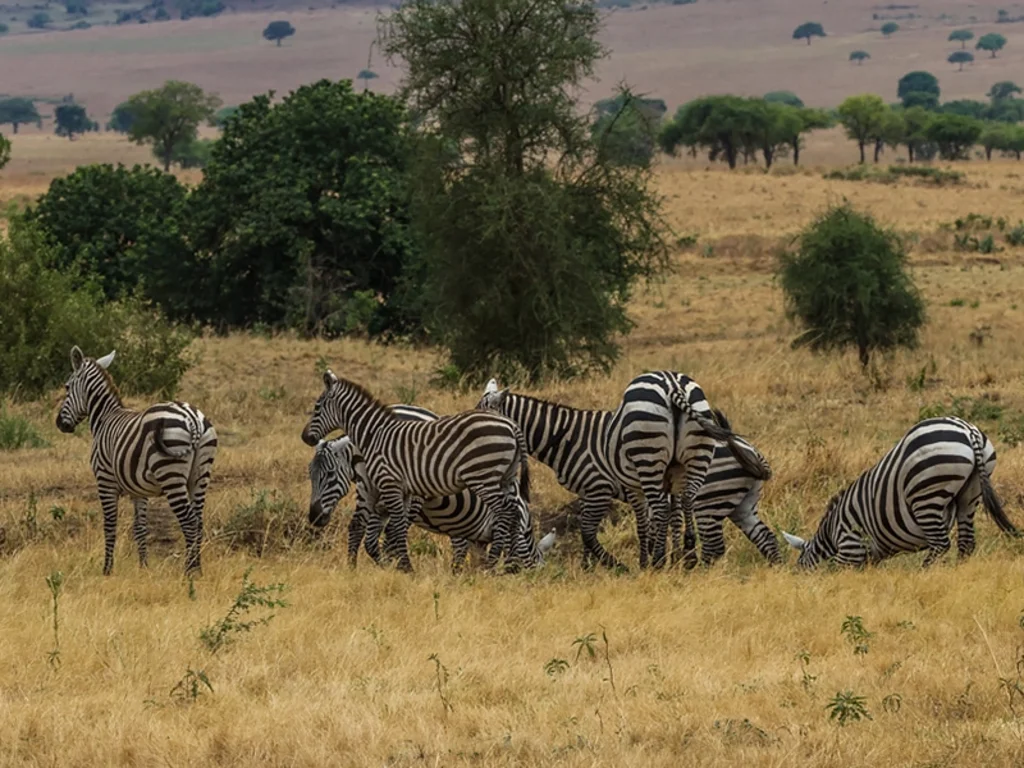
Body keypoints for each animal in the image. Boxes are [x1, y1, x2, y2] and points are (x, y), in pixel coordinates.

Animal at [56, 348, 218, 577]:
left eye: (67, 387)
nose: (60, 424)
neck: (105, 418)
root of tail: (192, 418)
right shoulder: (138, 490)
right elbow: (140, 528)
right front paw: (144, 567)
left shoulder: (104, 480)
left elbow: (110, 525)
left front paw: (107, 569)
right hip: (200, 475)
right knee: (199, 522)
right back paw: (198, 569)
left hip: (171, 475)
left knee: (189, 522)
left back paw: (189, 571)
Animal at [299, 370, 532, 573]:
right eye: (310, 475)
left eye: (317, 407)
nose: (305, 437)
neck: (374, 434)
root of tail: (512, 425)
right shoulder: (392, 491)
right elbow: (386, 530)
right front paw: (381, 567)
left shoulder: (392, 485)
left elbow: (395, 529)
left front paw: (403, 567)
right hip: (505, 479)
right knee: (510, 513)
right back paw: (504, 565)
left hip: (483, 479)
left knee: (506, 515)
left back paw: (497, 564)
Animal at [475, 378, 770, 573]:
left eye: (479, 414)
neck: (568, 436)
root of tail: (747, 448)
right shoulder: (590, 492)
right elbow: (588, 532)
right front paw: (589, 569)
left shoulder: (598, 487)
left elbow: (587, 533)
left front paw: (615, 566)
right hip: (728, 497)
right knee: (761, 538)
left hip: (707, 500)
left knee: (714, 544)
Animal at [782, 417, 1015, 569]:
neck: (831, 534)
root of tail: (969, 430)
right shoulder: (869, 556)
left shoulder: (850, 546)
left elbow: (839, 570)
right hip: (971, 492)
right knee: (966, 542)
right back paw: (958, 572)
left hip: (926, 495)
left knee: (941, 543)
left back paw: (924, 573)